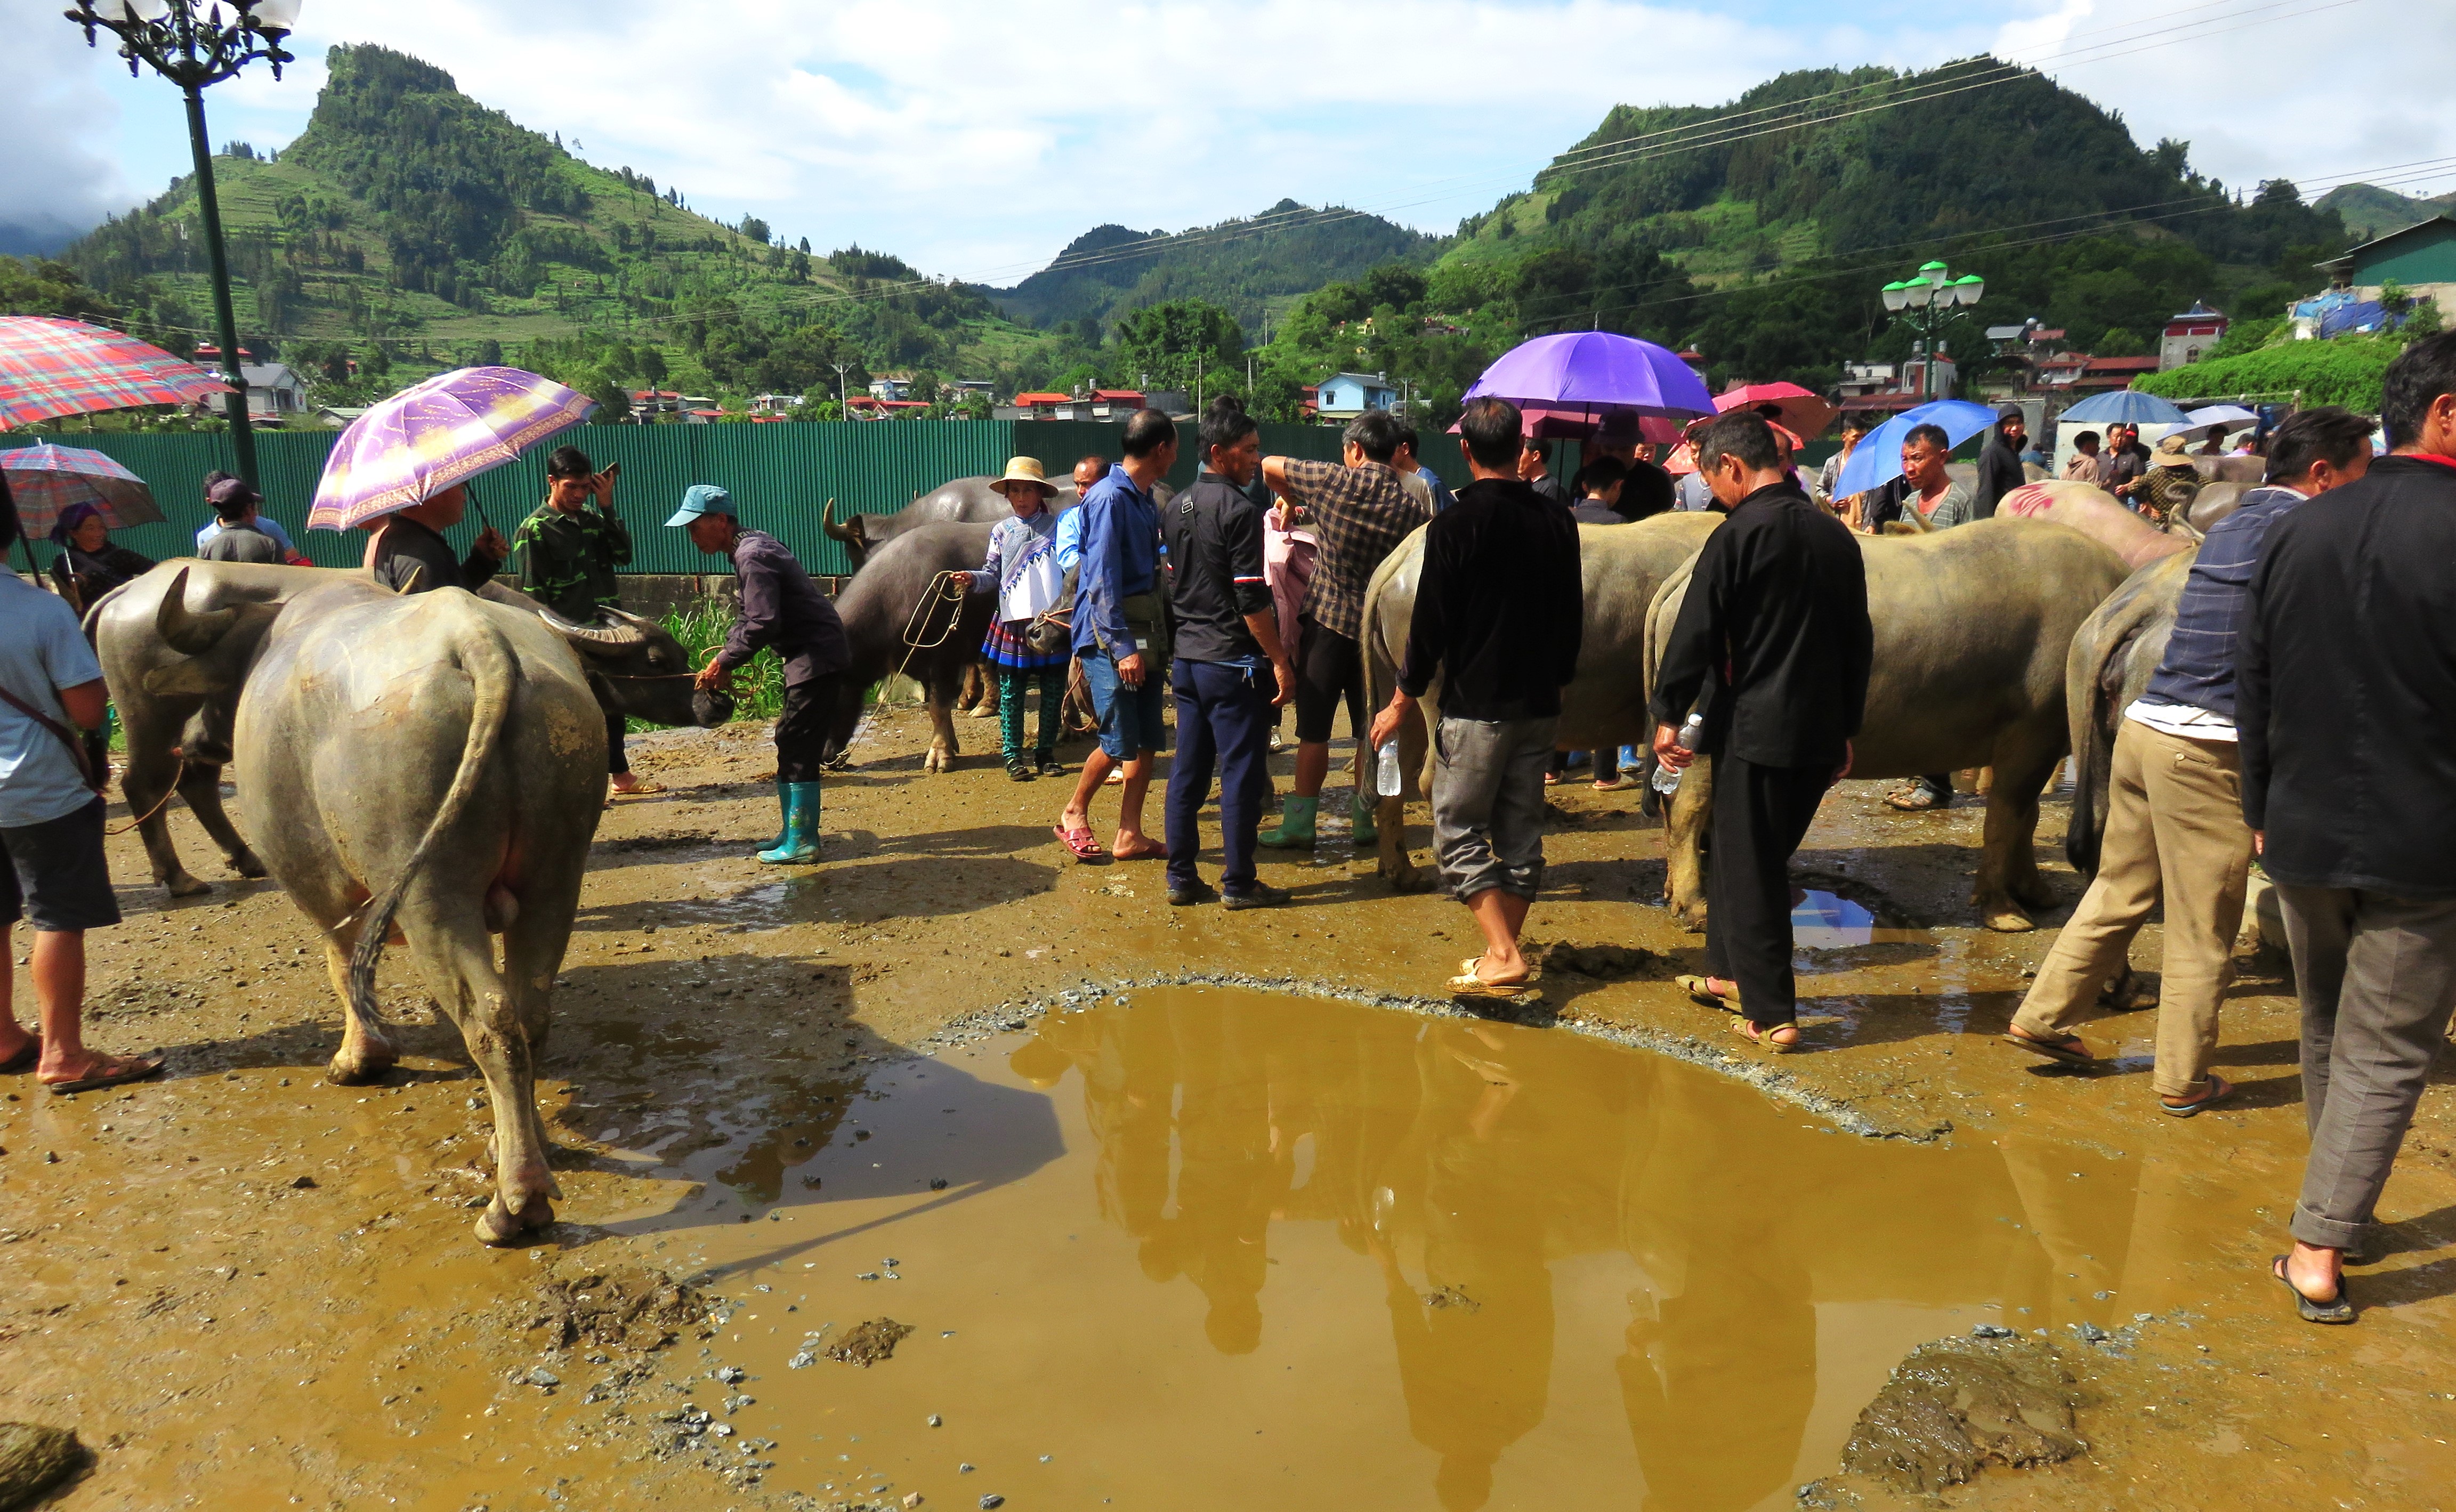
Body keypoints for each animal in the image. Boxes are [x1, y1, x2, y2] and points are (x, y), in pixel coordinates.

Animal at [92, 561, 712, 897]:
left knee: (195, 780)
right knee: (143, 784)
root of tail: (129, 591)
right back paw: (178, 877)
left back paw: (242, 859)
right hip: (150, 721)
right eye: (658, 658)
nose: (717, 701)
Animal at [153, 568, 605, 1244]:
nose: (190, 744)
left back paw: (516, 1202)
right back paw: (514, 1147)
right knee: (530, 1011)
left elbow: (341, 964)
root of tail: (479, 640)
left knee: (490, 1018)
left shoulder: (315, 880)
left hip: (431, 893)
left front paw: (358, 1058)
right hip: (556, 869)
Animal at [1646, 519, 2132, 932]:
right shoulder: (2031, 732)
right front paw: (2003, 910)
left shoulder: (2042, 740)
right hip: (1700, 723)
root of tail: (1683, 579)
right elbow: (2006, 819)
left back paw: (1673, 888)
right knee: (1689, 808)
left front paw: (2037, 891)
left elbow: (2028, 818)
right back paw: (1695, 905)